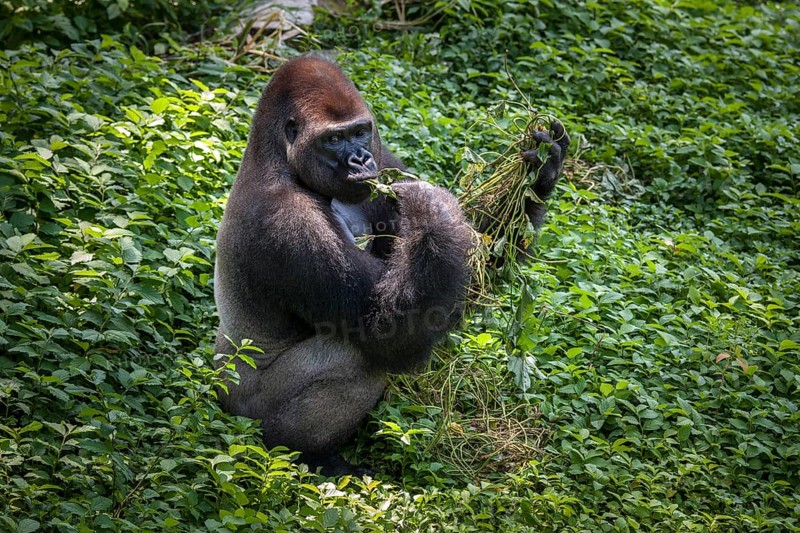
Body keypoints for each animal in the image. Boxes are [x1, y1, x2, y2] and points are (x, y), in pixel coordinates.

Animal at [214, 54, 569, 476]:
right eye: (333, 139)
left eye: (360, 132)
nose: (359, 159)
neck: (275, 159)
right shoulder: (287, 222)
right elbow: (385, 329)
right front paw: (432, 208)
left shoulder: (383, 164)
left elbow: (473, 265)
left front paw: (542, 171)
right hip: (245, 409)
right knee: (354, 358)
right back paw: (303, 452)